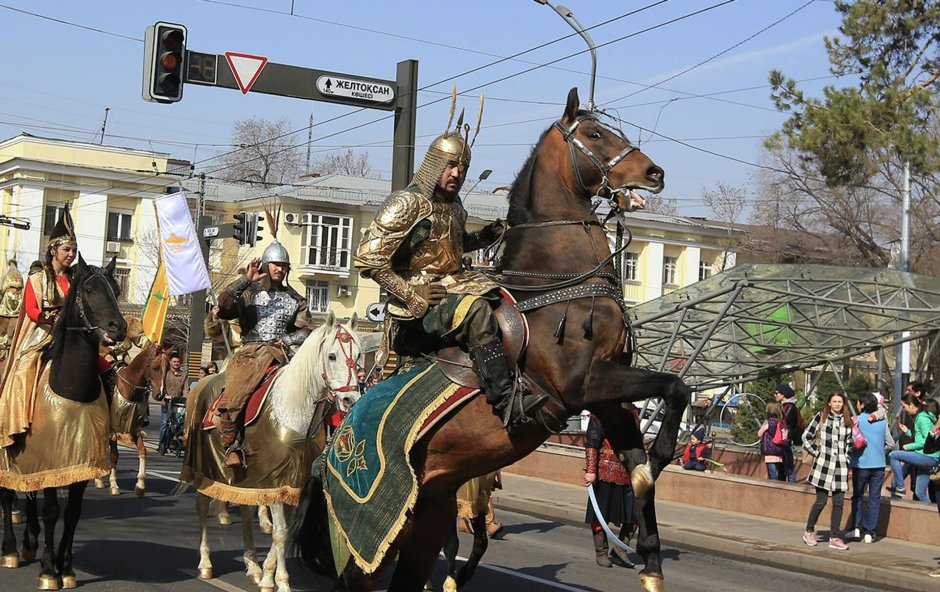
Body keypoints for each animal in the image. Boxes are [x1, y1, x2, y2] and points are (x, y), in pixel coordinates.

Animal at [0, 256, 126, 588]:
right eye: (90, 290)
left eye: (117, 290)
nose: (119, 327)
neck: (72, 389)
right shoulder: (53, 462)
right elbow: (52, 511)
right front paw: (48, 570)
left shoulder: (79, 464)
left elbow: (72, 513)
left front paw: (66, 569)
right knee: (7, 494)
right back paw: (11, 551)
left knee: (27, 492)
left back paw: (29, 542)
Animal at [182, 312, 362, 588]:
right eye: (332, 356)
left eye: (360, 355)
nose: (350, 400)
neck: (294, 411)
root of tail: (201, 384)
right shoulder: (278, 481)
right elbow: (280, 533)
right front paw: (280, 582)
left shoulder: (295, 484)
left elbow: (285, 533)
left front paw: (267, 574)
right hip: (204, 466)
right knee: (201, 506)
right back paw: (205, 564)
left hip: (247, 475)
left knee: (246, 510)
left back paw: (252, 565)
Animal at [290, 89, 688, 592]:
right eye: (596, 134)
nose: (654, 173)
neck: (554, 285)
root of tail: (329, 454)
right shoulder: (583, 384)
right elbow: (675, 388)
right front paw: (663, 456)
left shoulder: (608, 398)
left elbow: (639, 464)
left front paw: (651, 558)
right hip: (372, 552)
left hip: (428, 518)